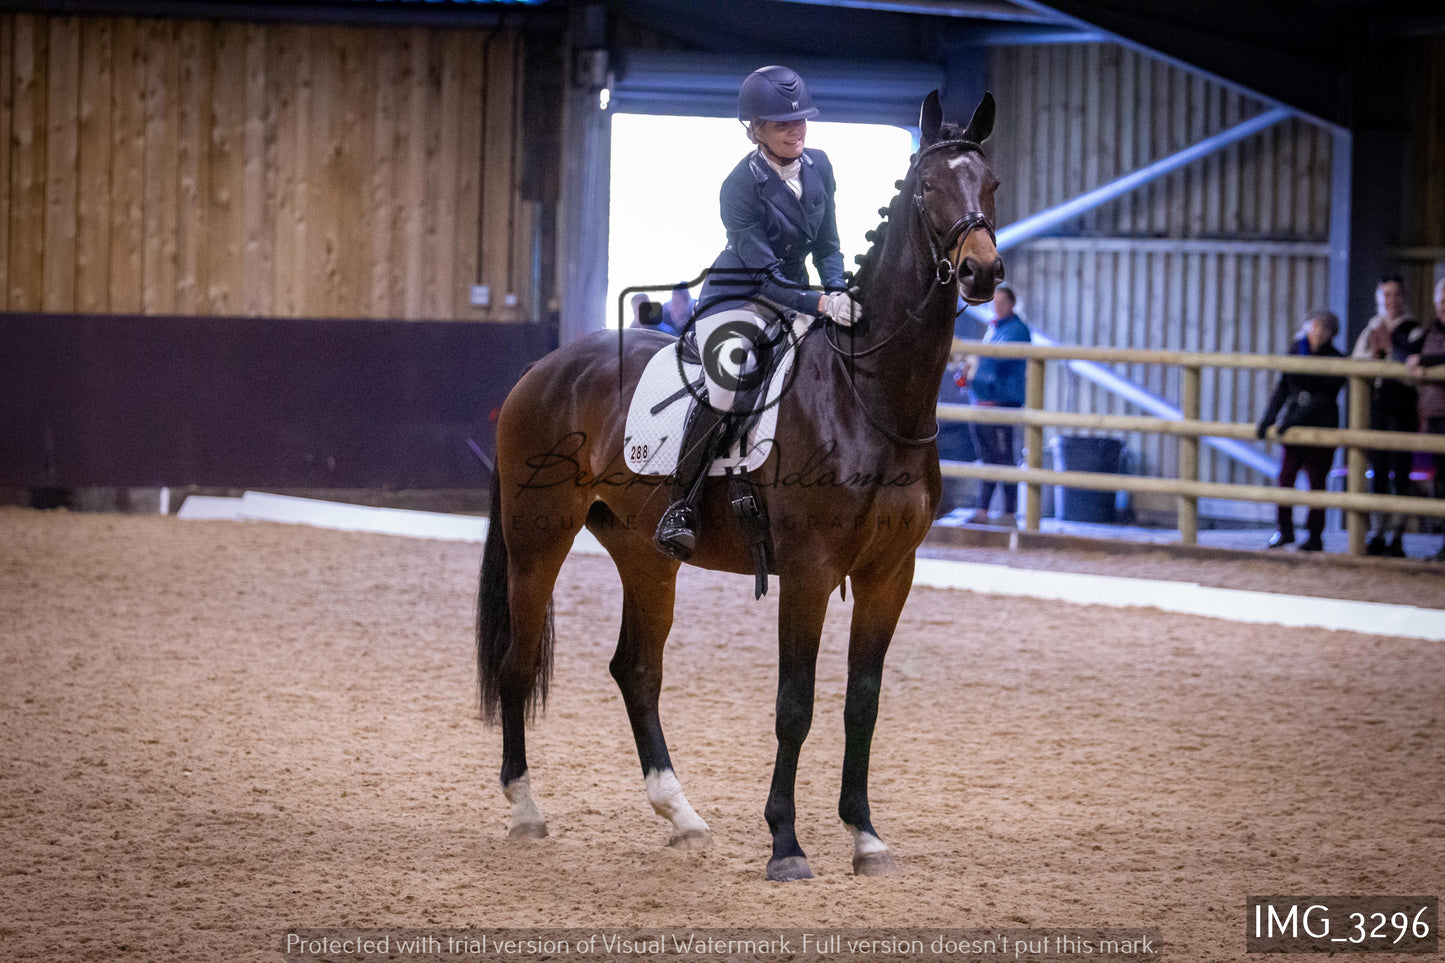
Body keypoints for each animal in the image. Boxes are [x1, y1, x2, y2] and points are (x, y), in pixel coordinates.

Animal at [479, 90, 999, 879]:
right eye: (927, 189)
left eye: (990, 184)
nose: (980, 274)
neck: (869, 393)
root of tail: (543, 369)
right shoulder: (810, 569)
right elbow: (795, 704)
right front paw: (786, 844)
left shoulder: (889, 572)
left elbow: (862, 702)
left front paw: (865, 836)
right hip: (537, 536)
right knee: (517, 661)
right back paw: (524, 811)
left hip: (644, 551)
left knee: (637, 669)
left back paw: (681, 815)